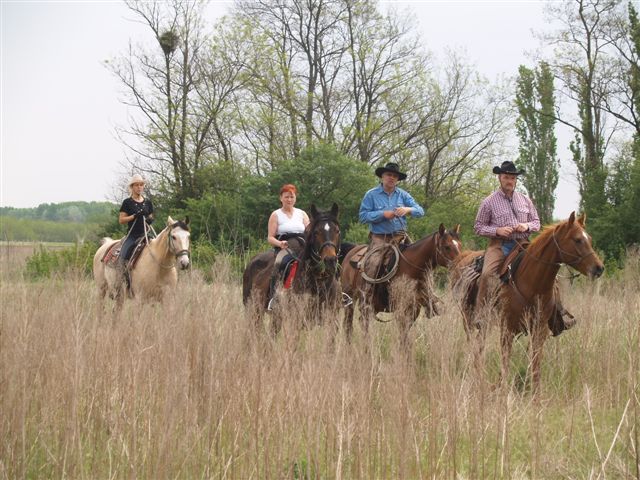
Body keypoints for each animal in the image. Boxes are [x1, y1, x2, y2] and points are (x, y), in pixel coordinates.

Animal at [241, 202, 342, 334]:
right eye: (316, 232)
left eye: (337, 231)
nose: (330, 260)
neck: (319, 283)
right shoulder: (297, 321)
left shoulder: (331, 321)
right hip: (254, 310)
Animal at [450, 214, 604, 394]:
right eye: (578, 240)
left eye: (589, 239)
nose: (599, 268)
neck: (533, 284)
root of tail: (462, 258)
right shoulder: (507, 329)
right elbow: (505, 363)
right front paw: (501, 390)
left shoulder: (539, 330)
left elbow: (535, 365)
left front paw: (535, 395)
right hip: (468, 317)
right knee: (474, 346)